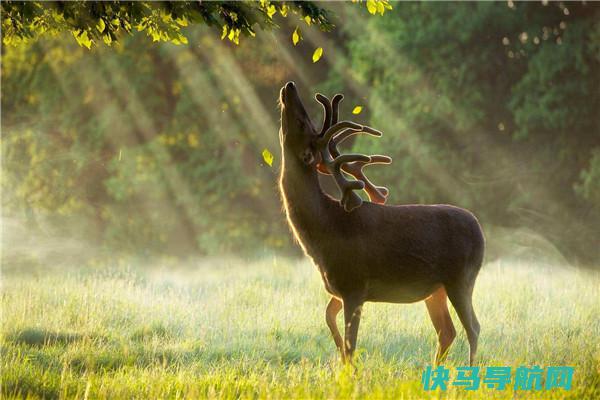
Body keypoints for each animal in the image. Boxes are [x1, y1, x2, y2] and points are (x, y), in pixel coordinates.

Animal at [278, 80, 486, 366]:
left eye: (302, 123)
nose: (289, 86)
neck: (324, 231)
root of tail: (480, 230)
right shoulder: (338, 288)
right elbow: (329, 319)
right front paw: (339, 359)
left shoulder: (354, 284)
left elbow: (351, 344)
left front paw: (349, 370)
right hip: (436, 289)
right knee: (447, 330)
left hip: (461, 278)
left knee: (473, 327)